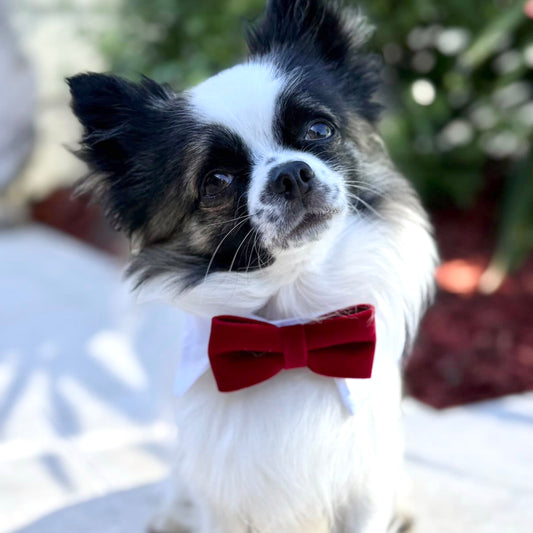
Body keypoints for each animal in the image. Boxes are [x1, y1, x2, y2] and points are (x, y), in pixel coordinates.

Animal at [67, 1, 436, 532]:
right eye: (217, 181)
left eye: (319, 131)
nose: (292, 173)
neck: (291, 322)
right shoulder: (221, 499)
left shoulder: (365, 488)